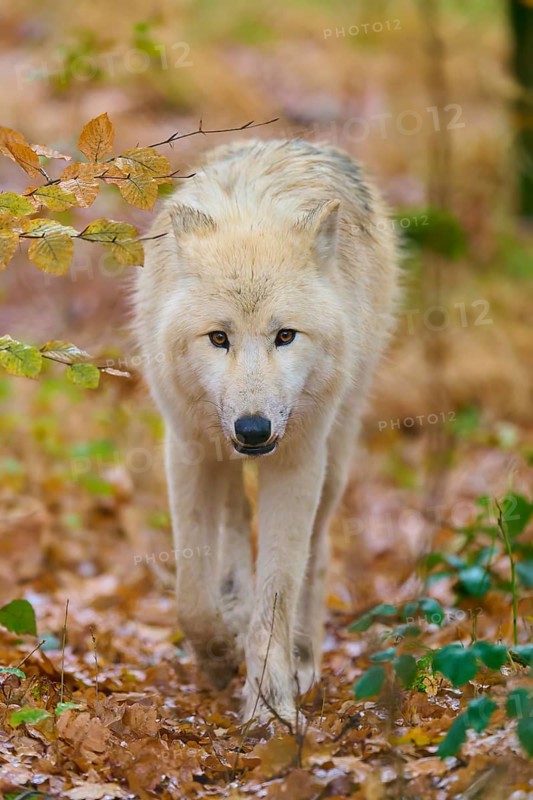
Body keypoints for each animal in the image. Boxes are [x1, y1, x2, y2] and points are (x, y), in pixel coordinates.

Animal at [135, 138, 399, 724]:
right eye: (218, 338)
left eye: (285, 336)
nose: (253, 430)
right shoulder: (185, 449)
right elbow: (191, 596)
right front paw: (217, 656)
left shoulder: (297, 461)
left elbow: (279, 588)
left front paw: (269, 705)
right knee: (234, 521)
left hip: (334, 456)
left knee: (317, 552)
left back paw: (302, 655)